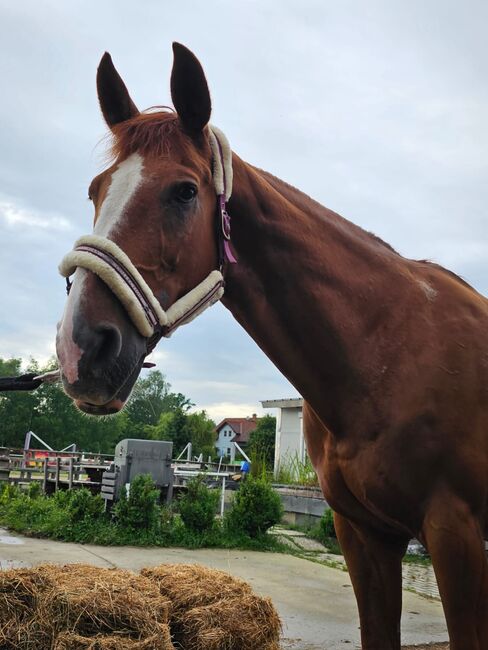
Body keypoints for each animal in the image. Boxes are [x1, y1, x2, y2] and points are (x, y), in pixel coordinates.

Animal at [57, 43, 488, 644]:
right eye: (96, 190)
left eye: (184, 191)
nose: (80, 349)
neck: (387, 351)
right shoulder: (363, 535)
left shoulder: (456, 534)